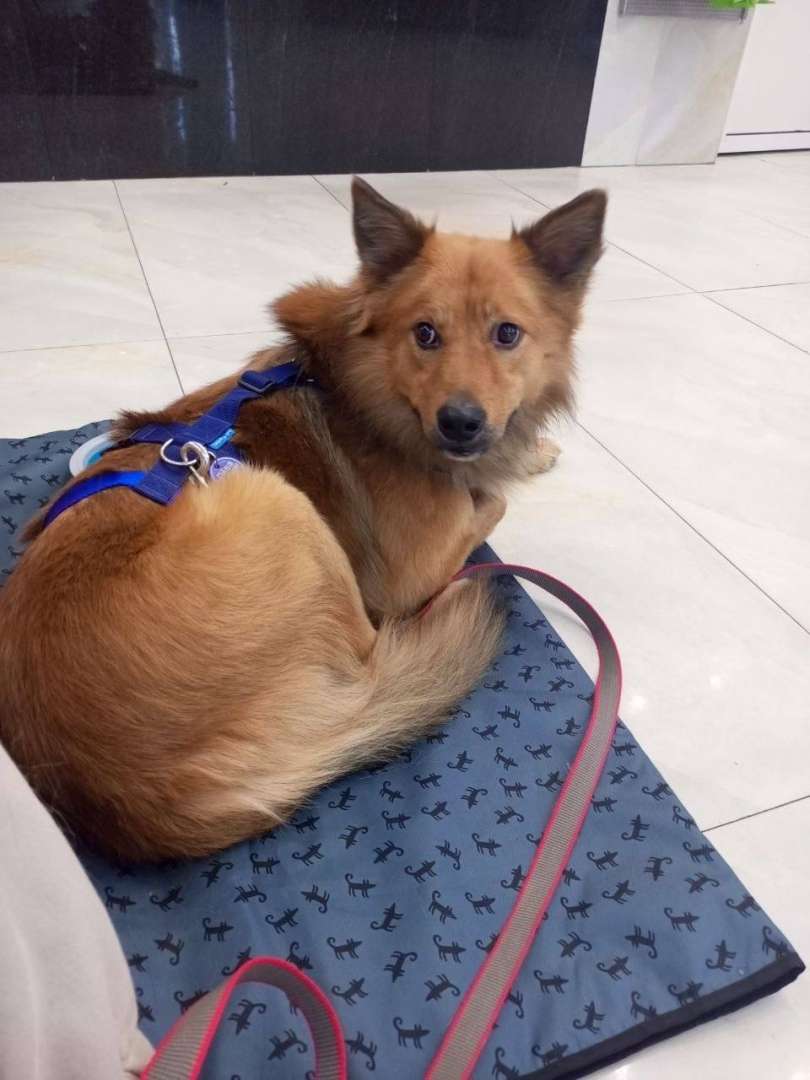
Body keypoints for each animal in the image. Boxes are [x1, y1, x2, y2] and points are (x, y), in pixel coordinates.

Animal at [0, 178, 605, 860]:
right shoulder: (411, 568)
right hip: (279, 502)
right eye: (425, 334)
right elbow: (491, 502)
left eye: (507, 334)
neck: (367, 390)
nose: (461, 424)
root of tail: (130, 800)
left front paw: (530, 450)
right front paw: (507, 470)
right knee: (373, 642)